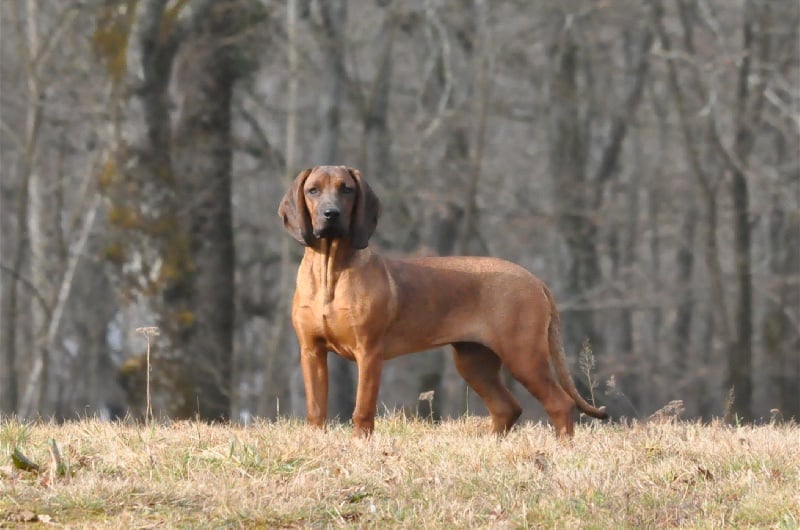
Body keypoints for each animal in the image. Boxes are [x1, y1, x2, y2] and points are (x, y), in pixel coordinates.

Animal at [276, 166, 608, 438]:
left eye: (346, 189)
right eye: (313, 190)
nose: (330, 214)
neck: (330, 272)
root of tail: (535, 279)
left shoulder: (369, 353)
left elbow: (362, 410)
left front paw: (360, 444)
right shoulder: (311, 351)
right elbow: (316, 409)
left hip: (523, 355)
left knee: (560, 403)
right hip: (474, 361)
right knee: (507, 407)